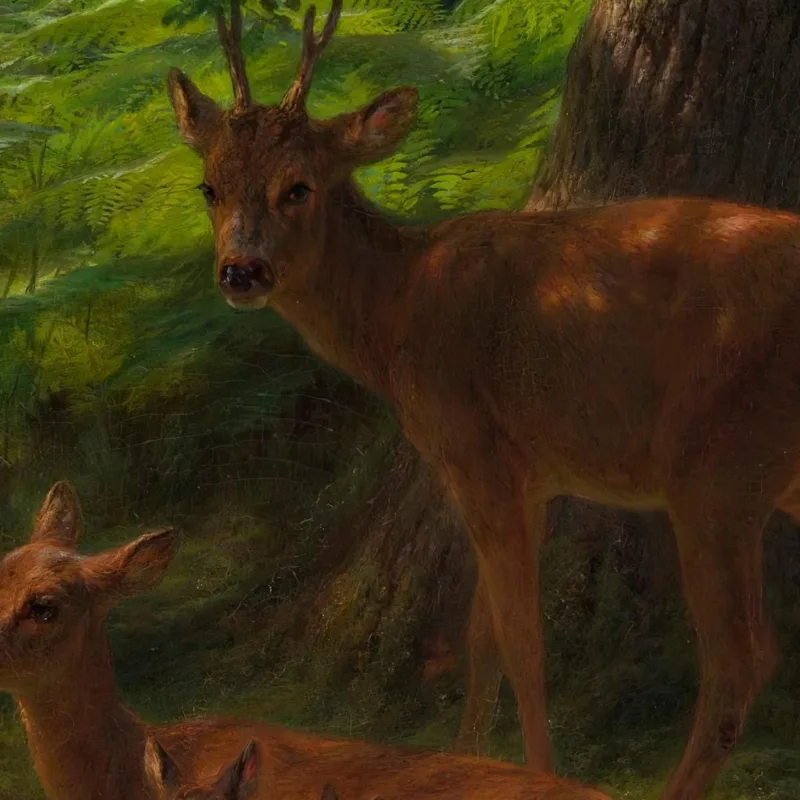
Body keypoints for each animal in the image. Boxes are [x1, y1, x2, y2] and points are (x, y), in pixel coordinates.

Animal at [164, 0, 800, 797]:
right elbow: (481, 635)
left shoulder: (475, 452)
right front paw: (467, 760)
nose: (240, 271)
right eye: (209, 187)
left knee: (741, 659)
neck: (401, 309)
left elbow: (522, 640)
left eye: (298, 186)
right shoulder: (532, 479)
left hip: (719, 467)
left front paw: (535, 773)